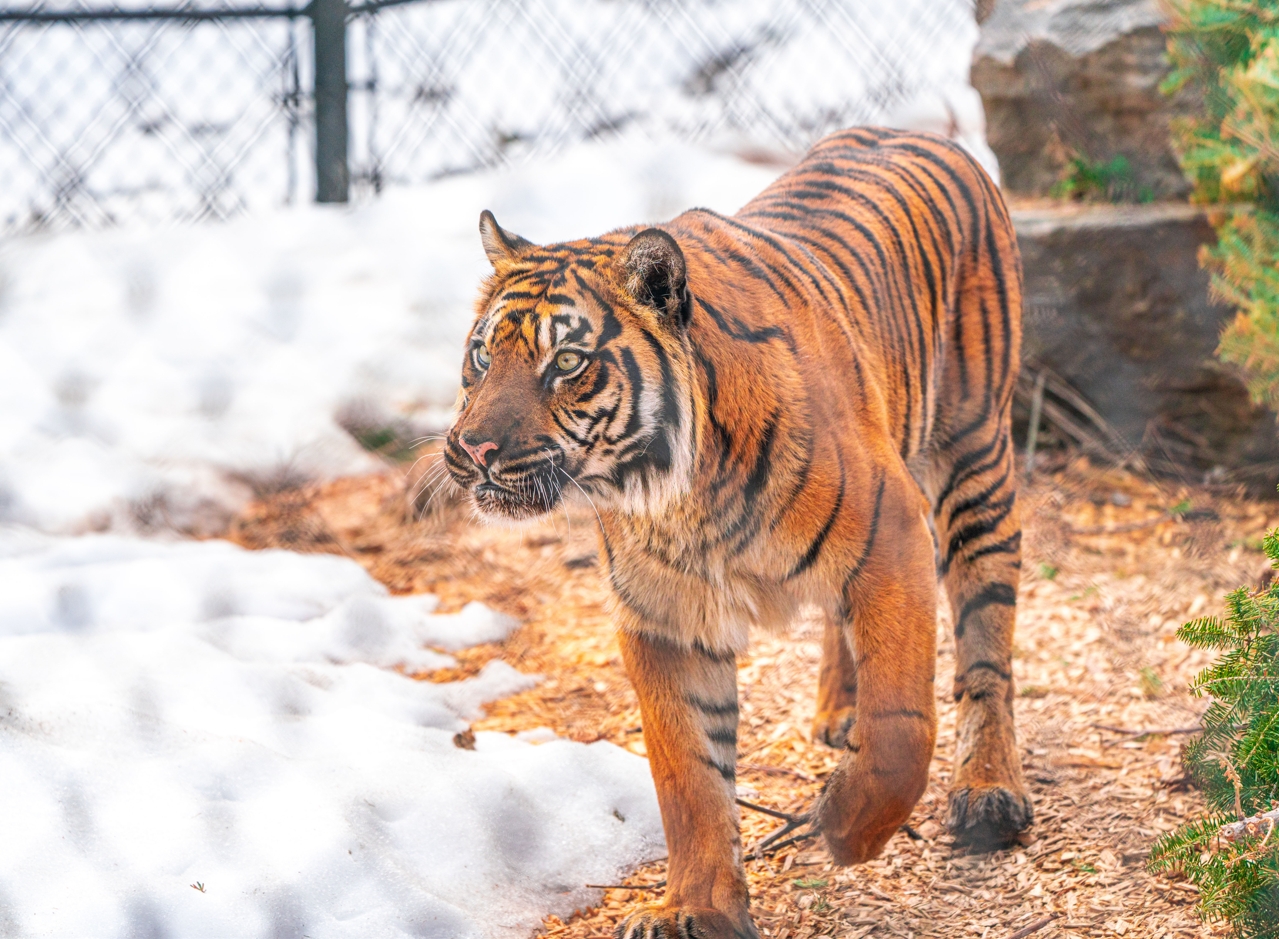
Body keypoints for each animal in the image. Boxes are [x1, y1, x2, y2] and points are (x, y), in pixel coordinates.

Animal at [444, 127, 1029, 939]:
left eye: (566, 361)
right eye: (480, 354)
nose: (472, 449)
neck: (678, 492)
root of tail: (918, 132)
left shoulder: (892, 536)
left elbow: (901, 730)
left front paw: (846, 829)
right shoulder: (662, 616)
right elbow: (686, 775)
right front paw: (695, 908)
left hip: (976, 460)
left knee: (984, 649)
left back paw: (988, 791)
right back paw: (837, 712)